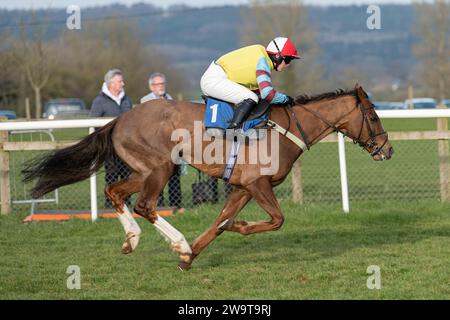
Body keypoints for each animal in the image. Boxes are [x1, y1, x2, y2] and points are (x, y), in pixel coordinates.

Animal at [22, 84, 392, 270]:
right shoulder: (256, 183)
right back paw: (177, 240)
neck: (286, 128)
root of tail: (118, 120)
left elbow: (218, 223)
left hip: (144, 170)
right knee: (145, 205)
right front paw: (229, 231)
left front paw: (191, 257)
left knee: (115, 192)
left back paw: (133, 239)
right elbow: (277, 219)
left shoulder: (243, 187)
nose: (387, 150)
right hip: (160, 167)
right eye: (373, 116)